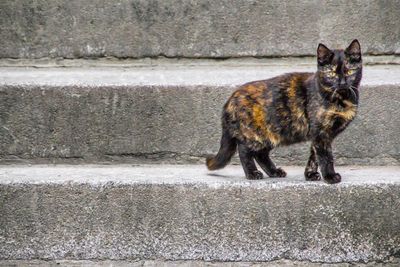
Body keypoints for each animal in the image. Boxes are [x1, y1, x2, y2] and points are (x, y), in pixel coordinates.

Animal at [206, 40, 362, 184]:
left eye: (349, 71)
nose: (342, 83)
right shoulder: (321, 133)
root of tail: (230, 99)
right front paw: (330, 176)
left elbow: (314, 156)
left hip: (270, 134)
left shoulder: (319, 135)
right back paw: (252, 173)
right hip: (253, 134)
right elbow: (325, 157)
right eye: (331, 73)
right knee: (244, 150)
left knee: (260, 154)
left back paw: (274, 172)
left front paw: (310, 174)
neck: (341, 99)